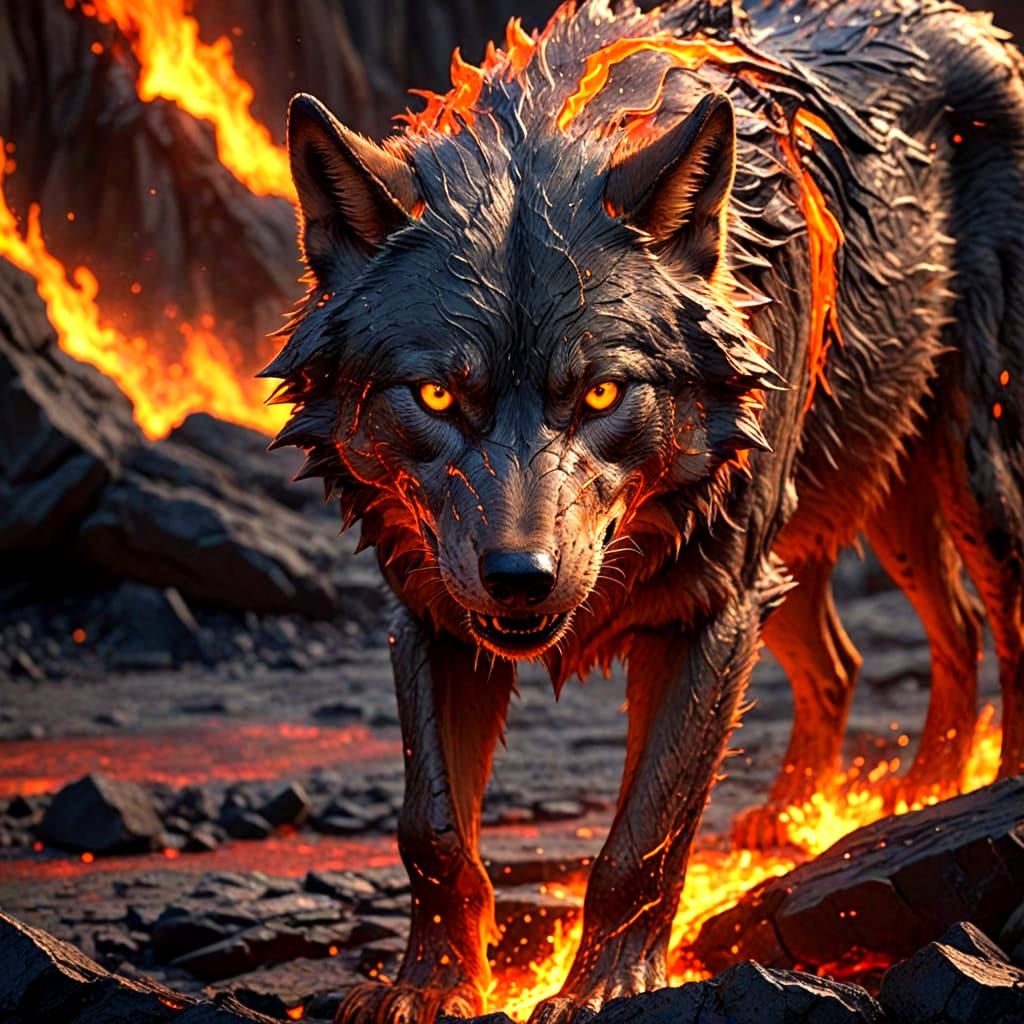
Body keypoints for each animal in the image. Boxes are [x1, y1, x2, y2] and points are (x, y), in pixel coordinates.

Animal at [264, 0, 1024, 1020]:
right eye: (434, 397)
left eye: (600, 393)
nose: (521, 579)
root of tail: (966, 21)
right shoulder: (428, 610)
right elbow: (433, 831)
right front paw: (430, 986)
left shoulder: (709, 613)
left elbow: (644, 835)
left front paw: (599, 990)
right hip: (826, 523)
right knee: (872, 651)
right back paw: (869, 806)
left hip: (965, 480)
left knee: (998, 625)